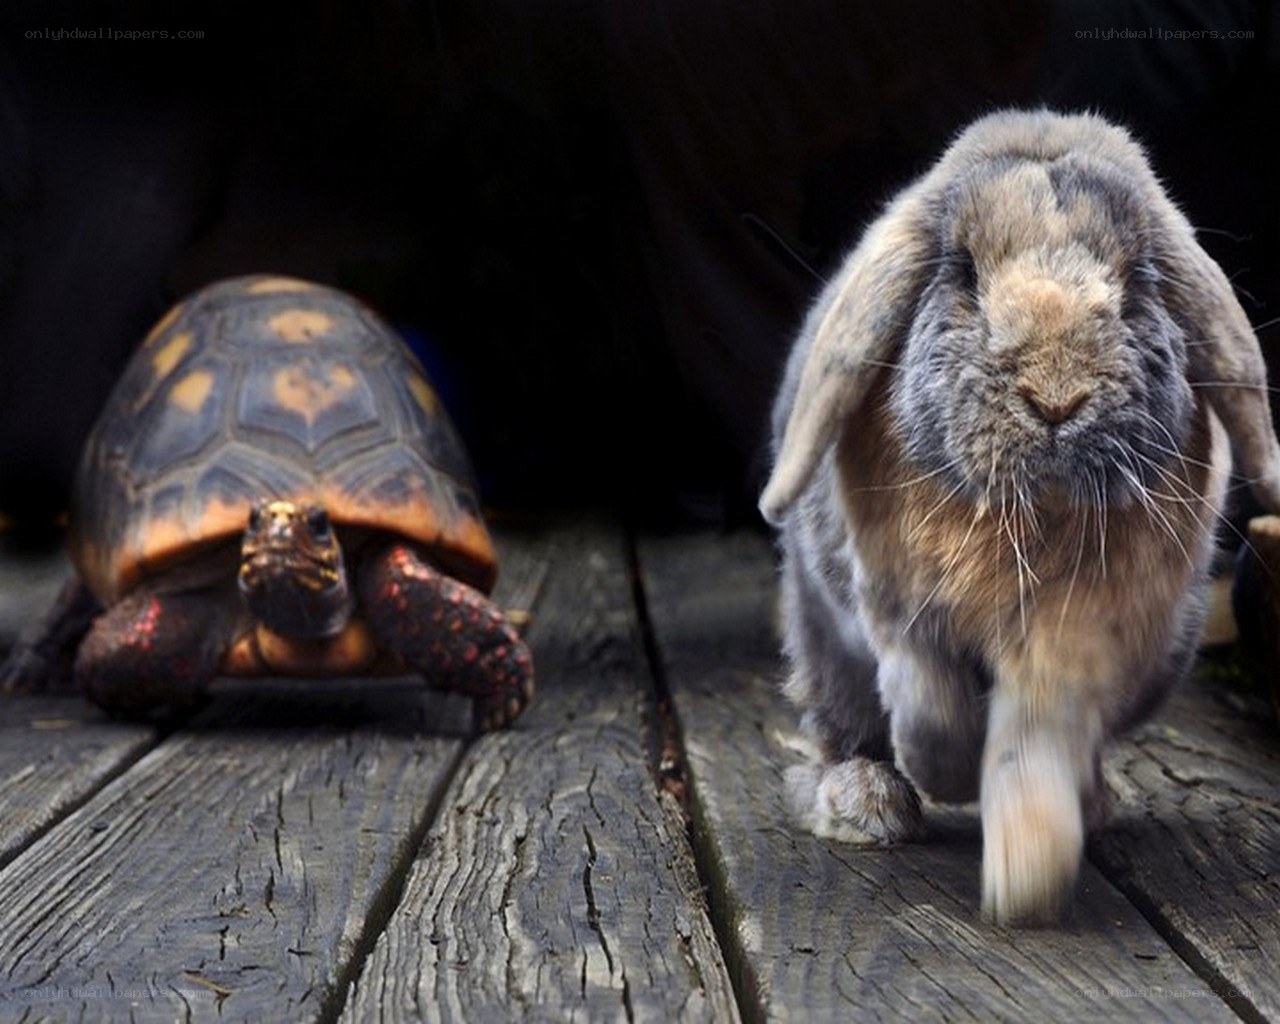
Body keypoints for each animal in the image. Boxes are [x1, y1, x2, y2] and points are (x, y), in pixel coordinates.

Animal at [760, 108, 1280, 926]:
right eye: (963, 272)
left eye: (1138, 282)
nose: (1056, 398)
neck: (1030, 519)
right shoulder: (898, 610)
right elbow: (932, 705)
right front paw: (943, 778)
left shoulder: (1079, 639)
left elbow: (1035, 739)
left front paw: (1027, 876)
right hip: (823, 642)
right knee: (845, 725)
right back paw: (868, 804)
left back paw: (1092, 804)